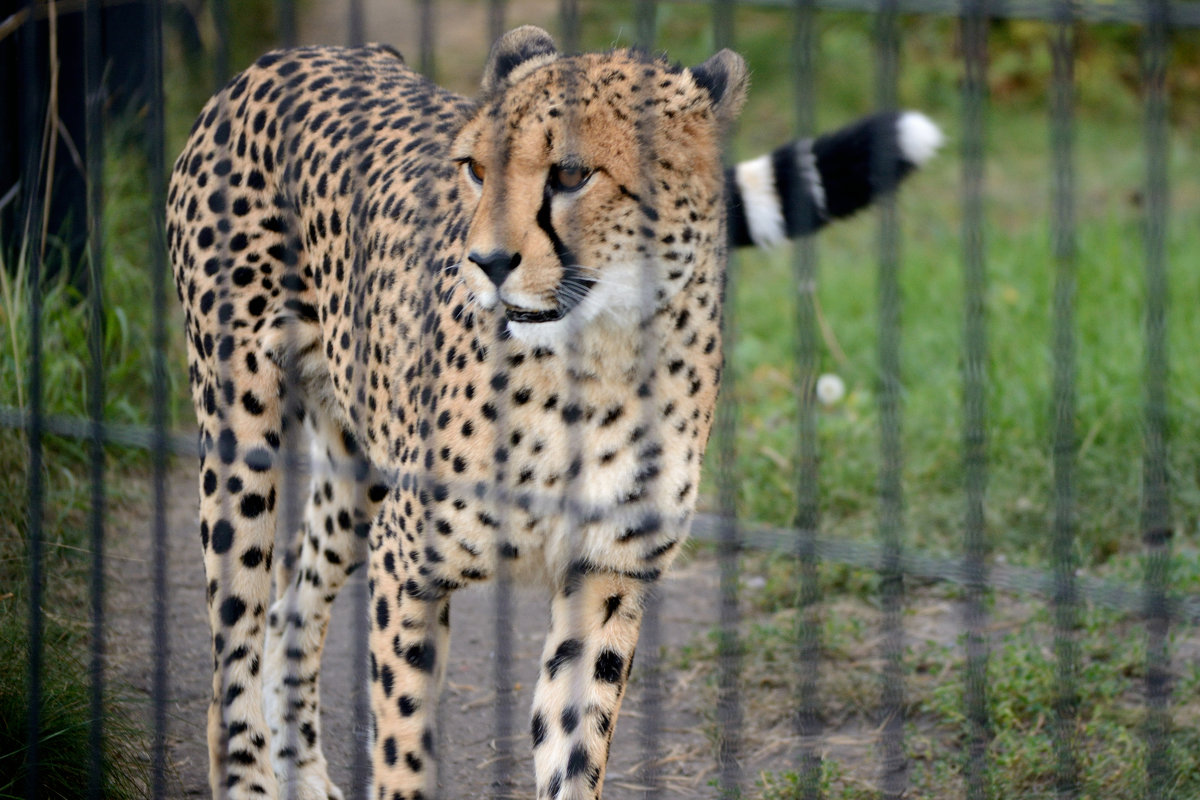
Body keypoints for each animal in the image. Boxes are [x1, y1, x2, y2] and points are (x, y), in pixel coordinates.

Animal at [166, 25, 936, 800]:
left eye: (570, 176)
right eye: (475, 169)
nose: (484, 262)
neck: (599, 360)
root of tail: (296, 55)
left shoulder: (605, 572)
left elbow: (574, 743)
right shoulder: (408, 562)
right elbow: (404, 741)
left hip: (359, 470)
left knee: (293, 601)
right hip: (241, 426)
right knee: (234, 633)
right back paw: (250, 773)